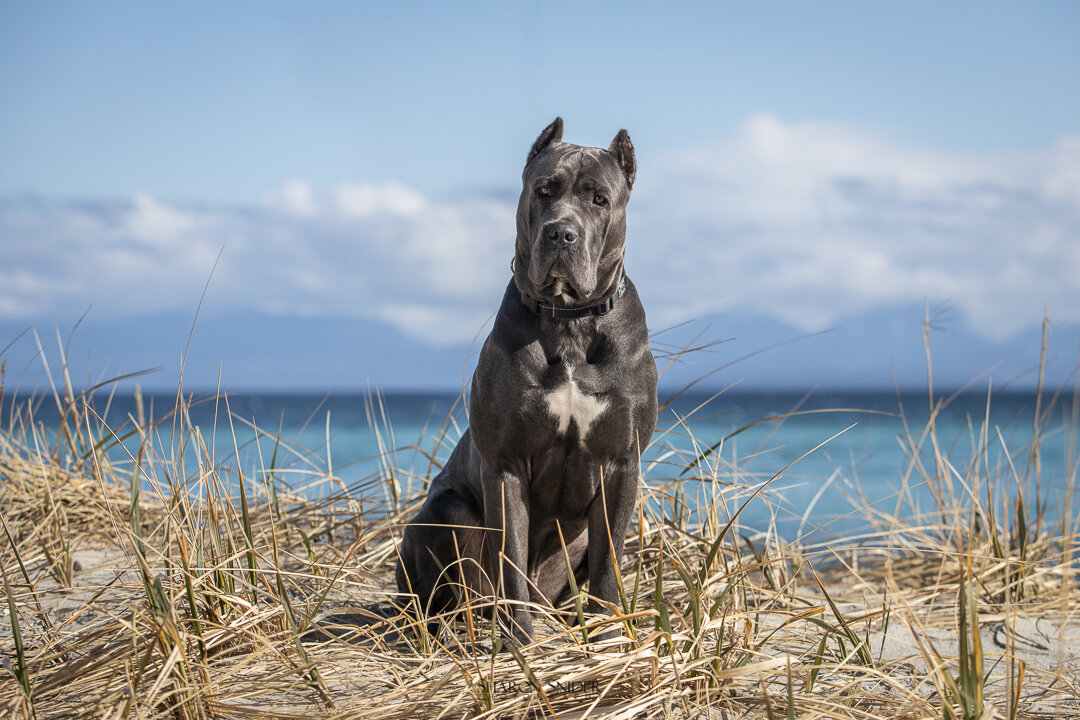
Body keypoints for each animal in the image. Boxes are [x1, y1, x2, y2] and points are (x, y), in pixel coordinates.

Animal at [393, 117, 652, 643]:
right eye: (544, 190)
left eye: (600, 199)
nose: (562, 233)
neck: (570, 320)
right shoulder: (506, 463)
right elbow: (510, 552)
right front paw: (518, 638)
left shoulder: (621, 462)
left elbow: (609, 561)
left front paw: (609, 635)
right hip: (444, 514)